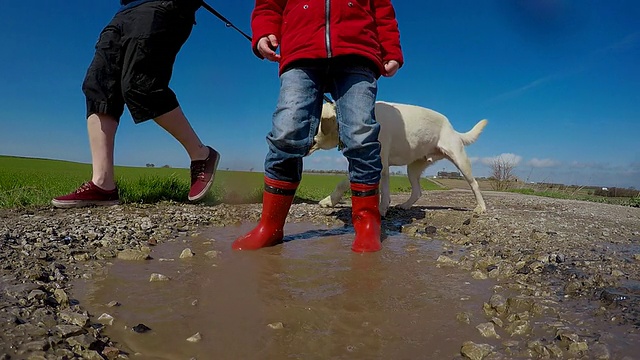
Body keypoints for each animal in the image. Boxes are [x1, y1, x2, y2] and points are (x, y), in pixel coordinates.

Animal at [308, 100, 488, 215]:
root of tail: (451, 127)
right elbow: (346, 184)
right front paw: (329, 201)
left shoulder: (379, 163)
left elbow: (380, 189)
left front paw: (381, 209)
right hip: (413, 168)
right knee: (417, 192)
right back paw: (405, 205)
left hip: (460, 159)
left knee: (474, 184)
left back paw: (481, 207)